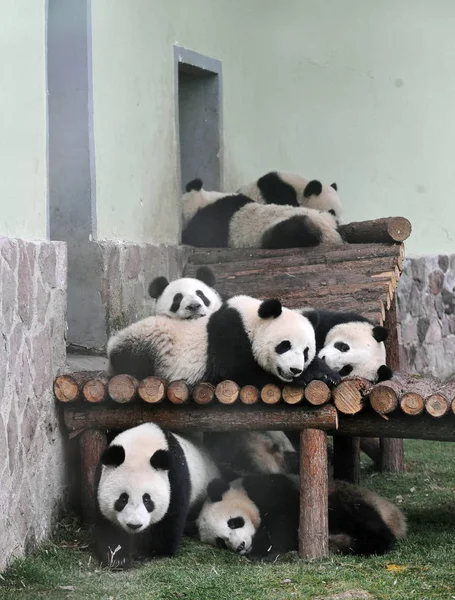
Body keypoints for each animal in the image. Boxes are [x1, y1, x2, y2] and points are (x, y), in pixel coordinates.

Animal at [94, 422, 219, 568]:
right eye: (123, 498)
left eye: (147, 499)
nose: (134, 525)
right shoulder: (99, 479)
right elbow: (106, 521)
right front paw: (117, 557)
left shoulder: (175, 477)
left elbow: (169, 518)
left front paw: (151, 553)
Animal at [108, 296, 342, 390]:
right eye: (284, 345)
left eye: (306, 352)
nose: (295, 370)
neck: (251, 321)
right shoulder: (229, 335)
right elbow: (236, 372)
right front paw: (303, 379)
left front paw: (326, 375)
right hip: (147, 342)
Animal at [196, 476, 406, 560]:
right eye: (220, 541)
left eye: (233, 522)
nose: (240, 546)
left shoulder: (272, 489)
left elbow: (284, 521)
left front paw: (261, 550)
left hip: (343, 497)